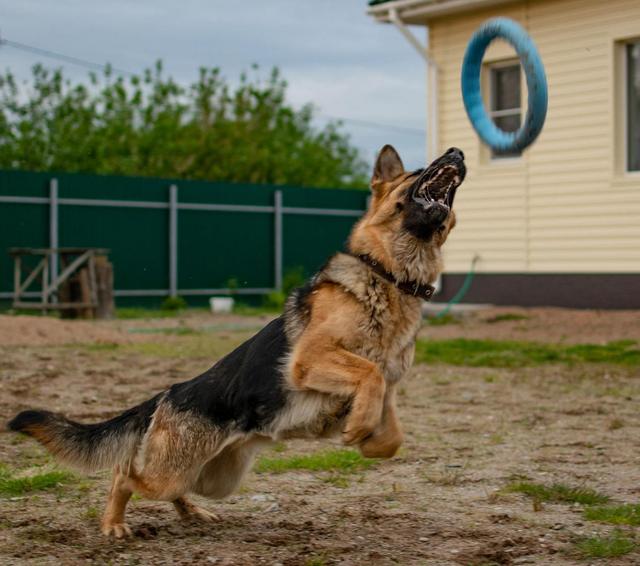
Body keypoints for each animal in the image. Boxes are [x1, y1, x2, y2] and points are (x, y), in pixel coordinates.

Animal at [8, 144, 464, 540]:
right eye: (416, 170)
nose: (458, 152)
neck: (390, 277)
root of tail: (167, 394)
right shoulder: (310, 358)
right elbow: (368, 373)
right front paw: (358, 427)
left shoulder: (387, 386)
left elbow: (391, 433)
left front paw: (365, 437)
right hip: (171, 472)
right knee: (125, 475)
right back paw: (114, 523)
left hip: (213, 478)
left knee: (173, 489)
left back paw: (191, 513)